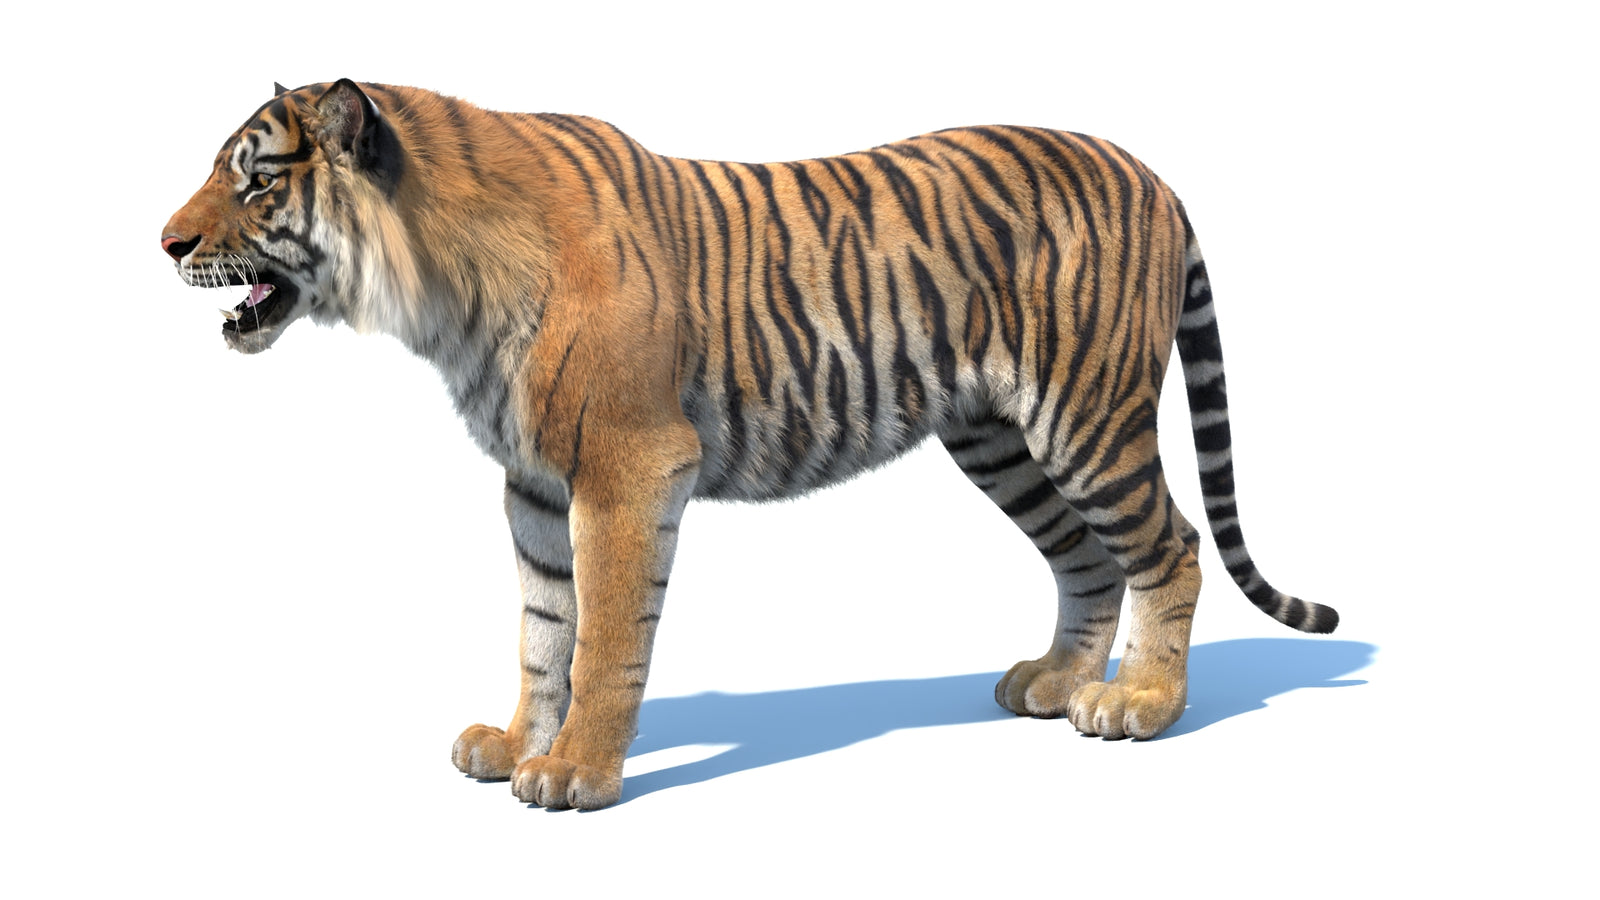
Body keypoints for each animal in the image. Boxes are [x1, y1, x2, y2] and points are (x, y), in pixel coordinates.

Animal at [162, 79, 1338, 810]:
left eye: (257, 180)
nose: (165, 243)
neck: (436, 292)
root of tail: (1152, 172)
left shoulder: (626, 468)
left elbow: (606, 638)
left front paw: (576, 773)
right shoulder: (533, 486)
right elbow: (542, 630)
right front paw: (514, 746)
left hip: (1084, 415)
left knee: (1169, 546)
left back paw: (1139, 705)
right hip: (998, 437)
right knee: (1088, 556)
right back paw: (1052, 680)